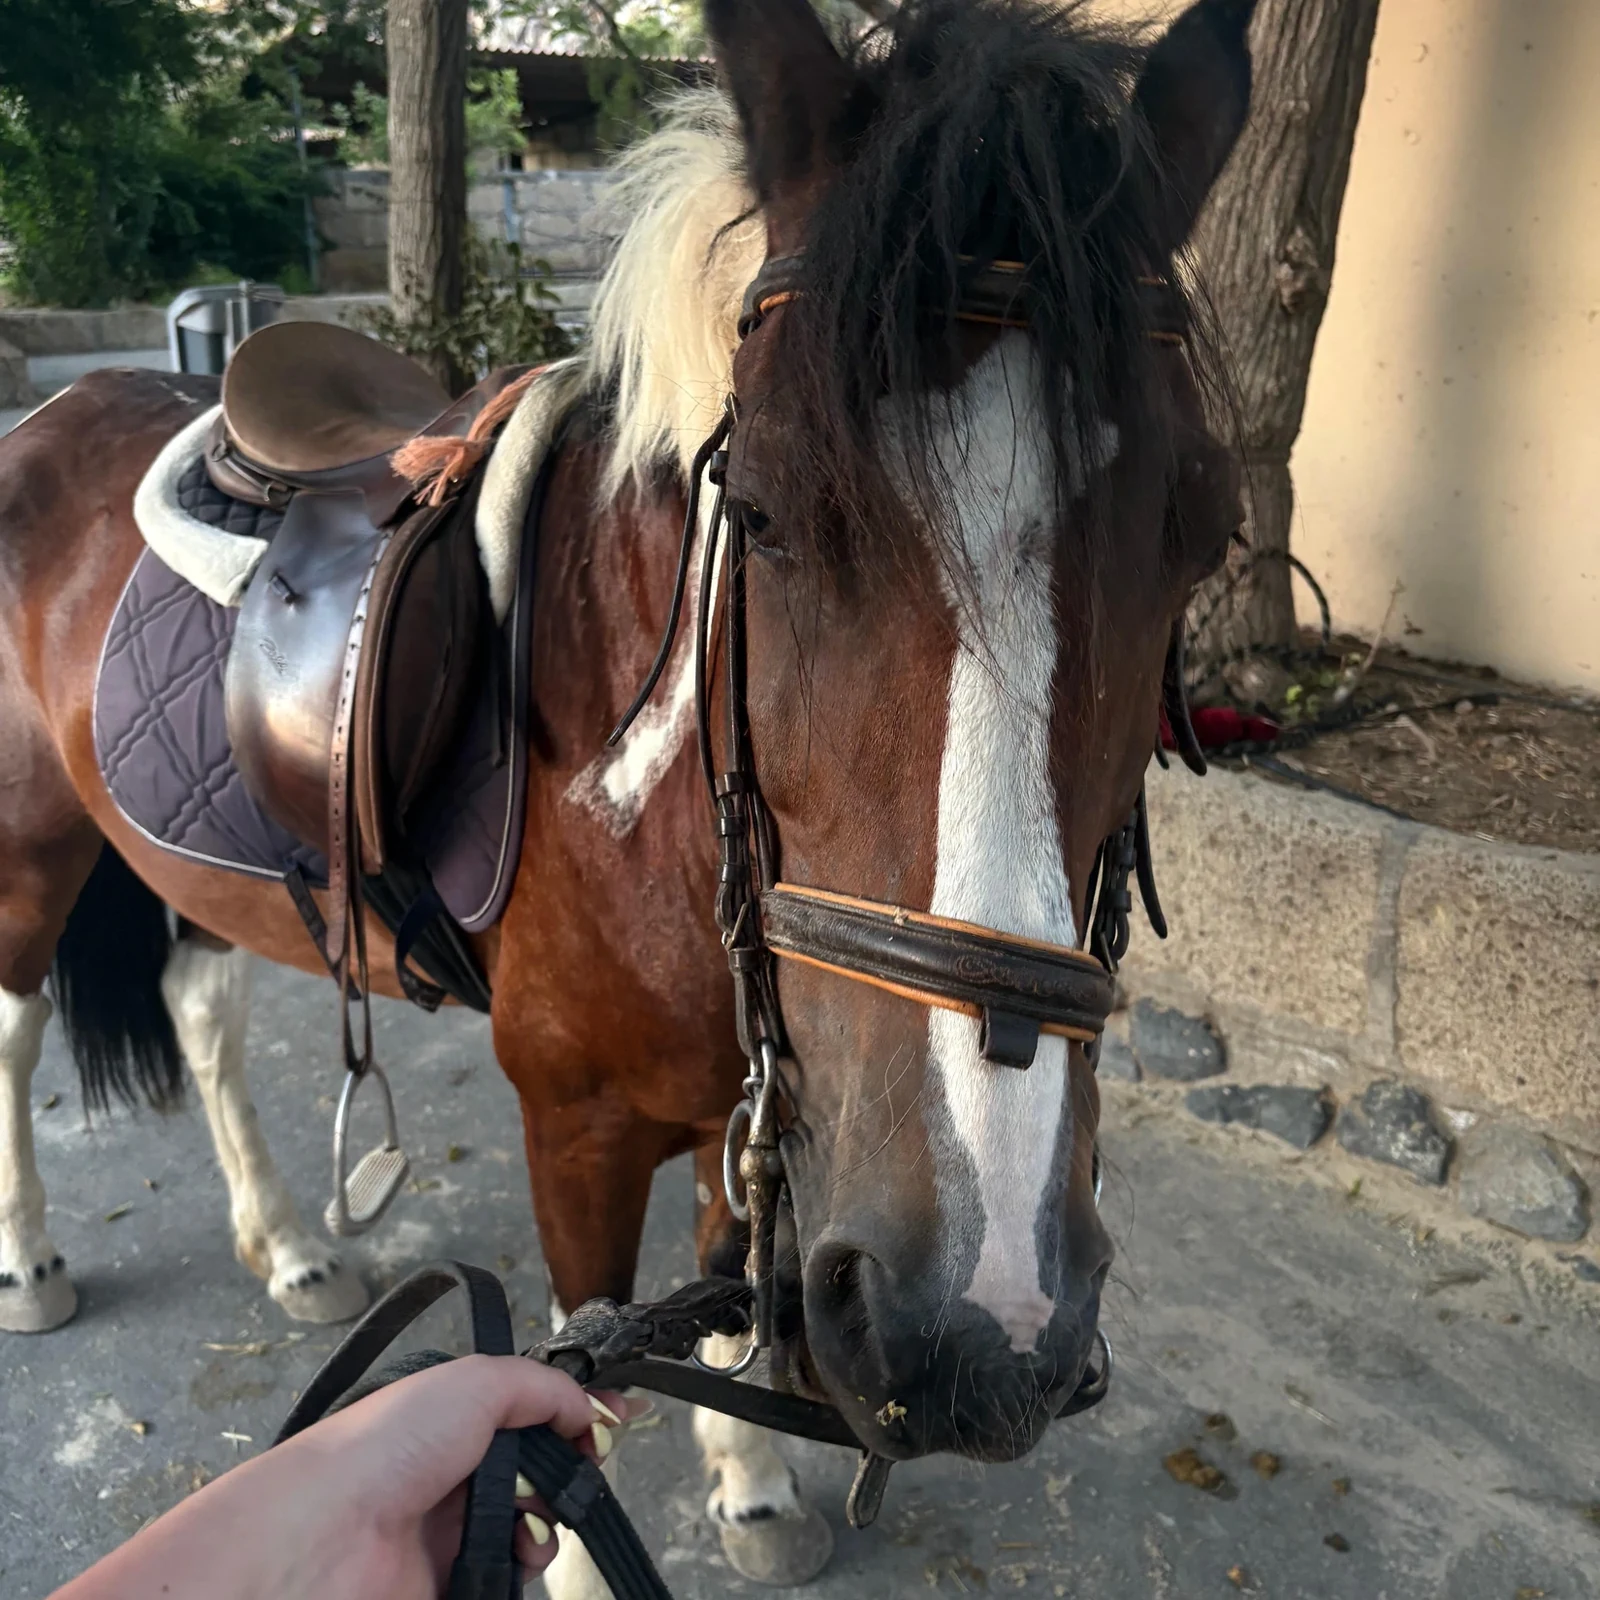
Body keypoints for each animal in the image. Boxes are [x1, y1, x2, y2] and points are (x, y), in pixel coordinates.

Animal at [0, 0, 1252, 1590]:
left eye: (1204, 534)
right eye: (760, 511)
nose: (981, 1320)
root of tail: (68, 405)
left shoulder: (758, 1106)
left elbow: (719, 1299)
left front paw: (755, 1489)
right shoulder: (577, 1133)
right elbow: (580, 1407)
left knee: (203, 1009)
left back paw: (292, 1247)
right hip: (29, 845)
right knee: (19, 1028)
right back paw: (30, 1259)